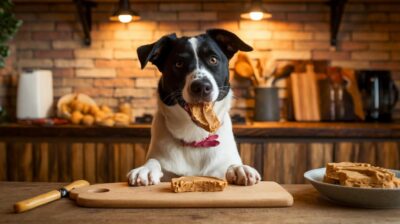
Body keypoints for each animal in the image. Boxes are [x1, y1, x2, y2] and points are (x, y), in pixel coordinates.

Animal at [126, 28, 260, 186]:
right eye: (178, 64)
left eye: (213, 60)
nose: (201, 86)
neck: (196, 137)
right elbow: (154, 161)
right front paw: (146, 169)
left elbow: (230, 164)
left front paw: (239, 168)